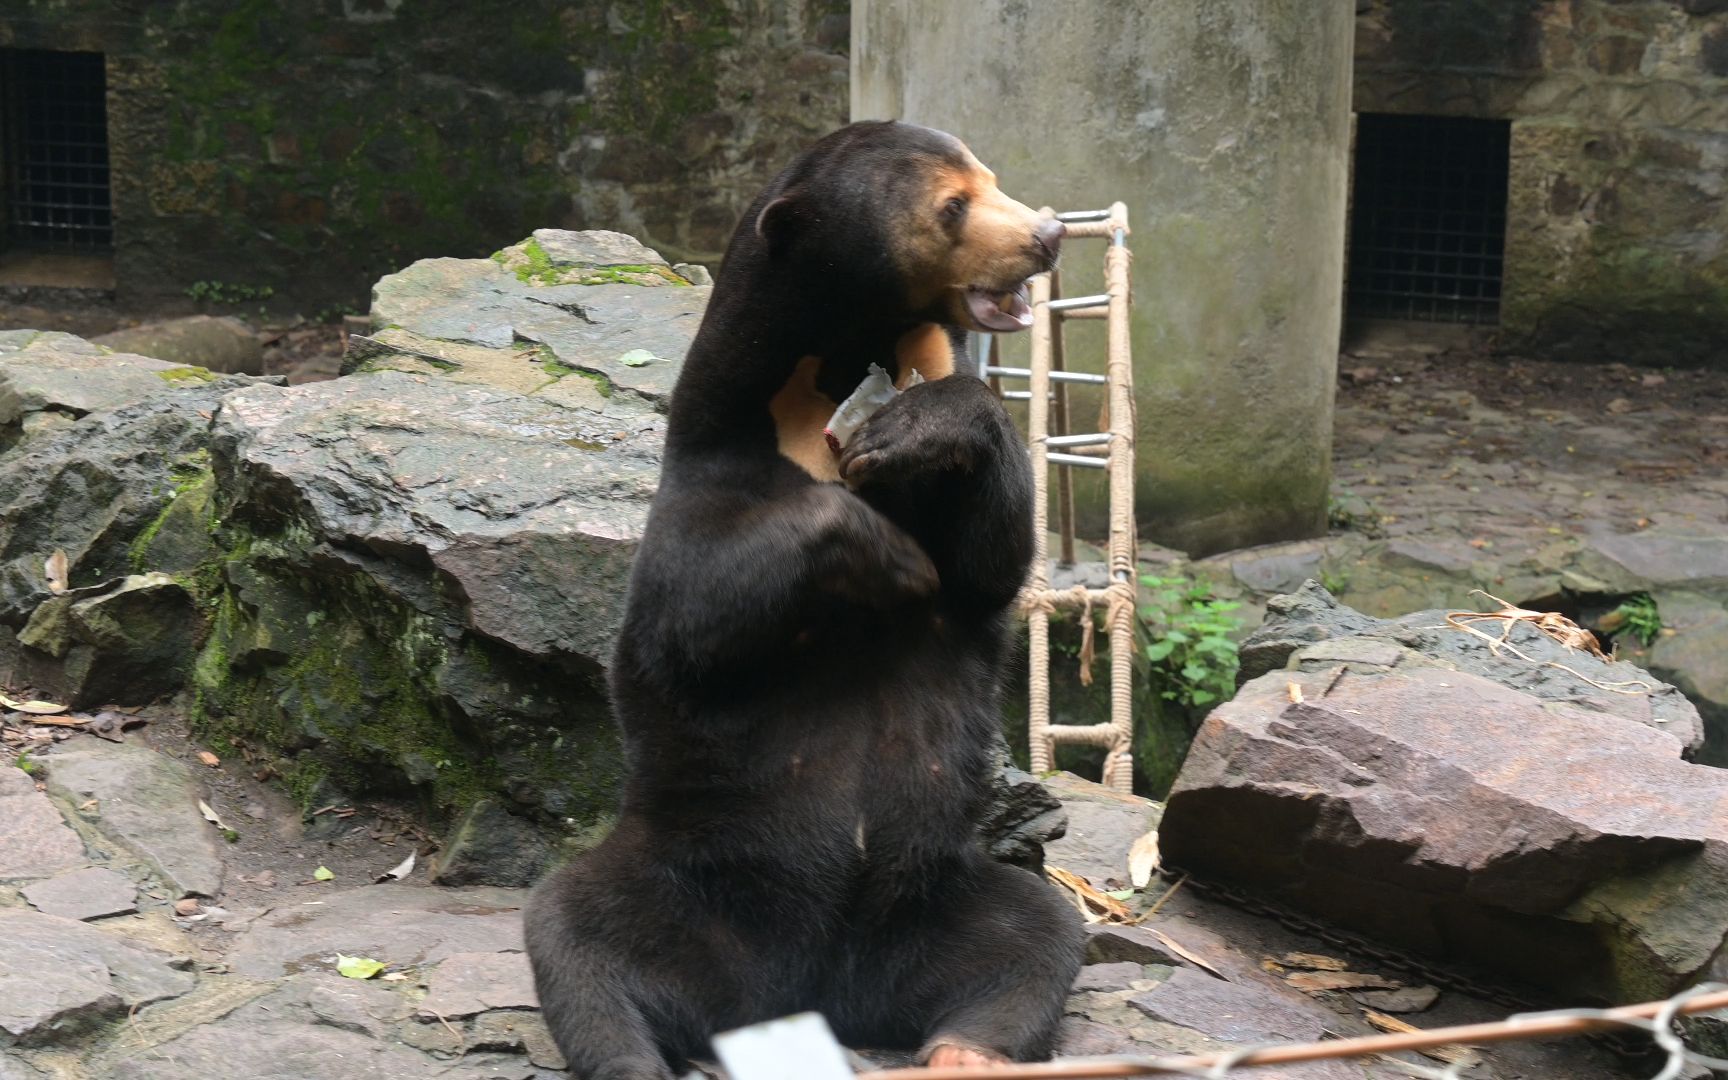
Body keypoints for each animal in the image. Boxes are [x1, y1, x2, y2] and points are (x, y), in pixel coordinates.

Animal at [524, 120, 1081, 1078]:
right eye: (953, 206)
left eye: (991, 177)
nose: (1047, 235)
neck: (837, 362)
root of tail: (812, 989)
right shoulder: (713, 465)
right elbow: (690, 608)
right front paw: (890, 555)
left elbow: (993, 557)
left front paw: (916, 431)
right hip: (680, 870)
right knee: (576, 939)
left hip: (939, 888)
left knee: (1035, 936)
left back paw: (964, 1052)